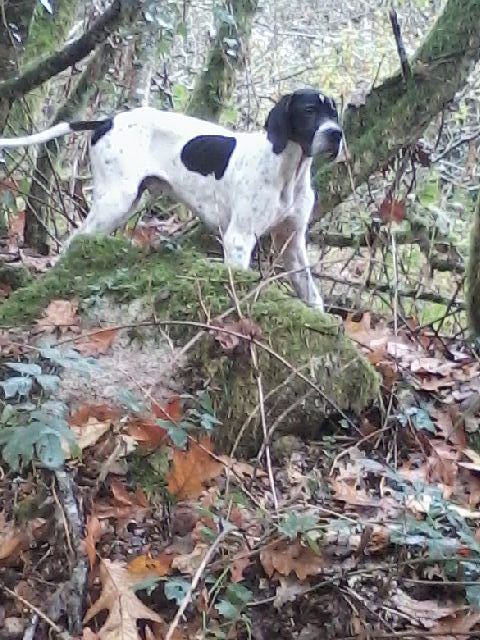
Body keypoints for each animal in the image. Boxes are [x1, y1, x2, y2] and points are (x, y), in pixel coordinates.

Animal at [0, 89, 344, 312]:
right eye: (309, 111)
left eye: (334, 113)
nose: (336, 134)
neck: (288, 170)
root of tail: (107, 121)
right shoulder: (239, 238)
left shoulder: (292, 244)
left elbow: (313, 296)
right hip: (115, 202)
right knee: (72, 243)